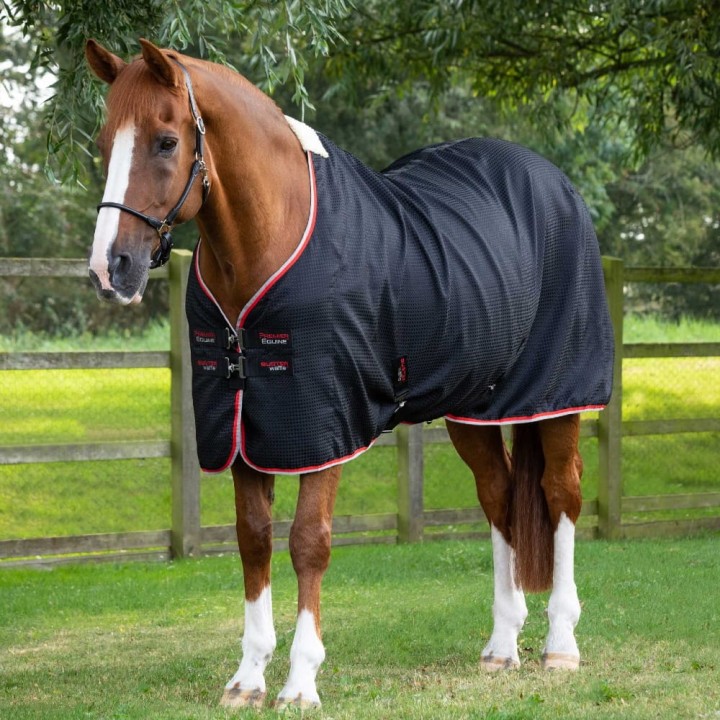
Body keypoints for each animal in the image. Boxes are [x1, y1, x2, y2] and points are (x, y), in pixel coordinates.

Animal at [85, 39, 614, 710]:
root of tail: (553, 182)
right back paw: (501, 646)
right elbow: (253, 539)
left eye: (165, 141)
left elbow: (308, 541)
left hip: (557, 396)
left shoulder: (323, 422)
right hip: (473, 407)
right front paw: (247, 679)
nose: (111, 268)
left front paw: (300, 682)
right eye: (104, 142)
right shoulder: (243, 426)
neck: (273, 238)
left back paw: (560, 645)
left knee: (561, 494)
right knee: (498, 498)